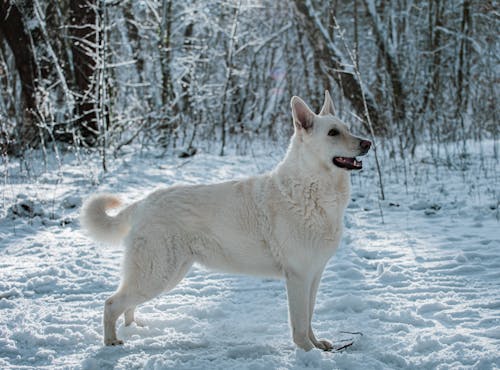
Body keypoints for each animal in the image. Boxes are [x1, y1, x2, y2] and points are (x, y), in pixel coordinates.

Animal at [81, 91, 372, 352]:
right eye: (333, 133)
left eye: (347, 128)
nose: (368, 143)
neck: (312, 188)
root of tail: (143, 202)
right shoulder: (298, 276)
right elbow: (299, 323)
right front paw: (308, 352)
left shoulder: (313, 276)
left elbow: (309, 318)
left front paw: (317, 345)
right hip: (157, 275)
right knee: (111, 303)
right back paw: (111, 341)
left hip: (166, 274)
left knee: (126, 304)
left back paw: (132, 328)